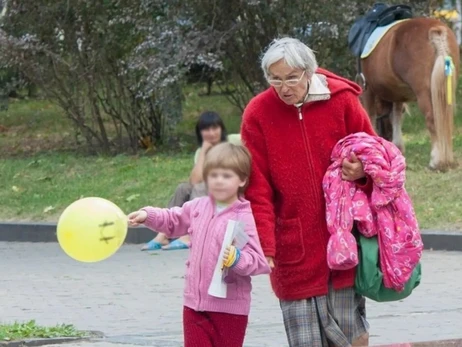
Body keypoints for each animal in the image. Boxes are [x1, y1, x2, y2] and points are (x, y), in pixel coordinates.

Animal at [360, 18, 458, 171]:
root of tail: (436, 30)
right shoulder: (397, 94)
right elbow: (397, 115)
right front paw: (398, 147)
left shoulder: (368, 89)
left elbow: (371, 116)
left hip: (424, 93)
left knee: (432, 120)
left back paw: (436, 161)